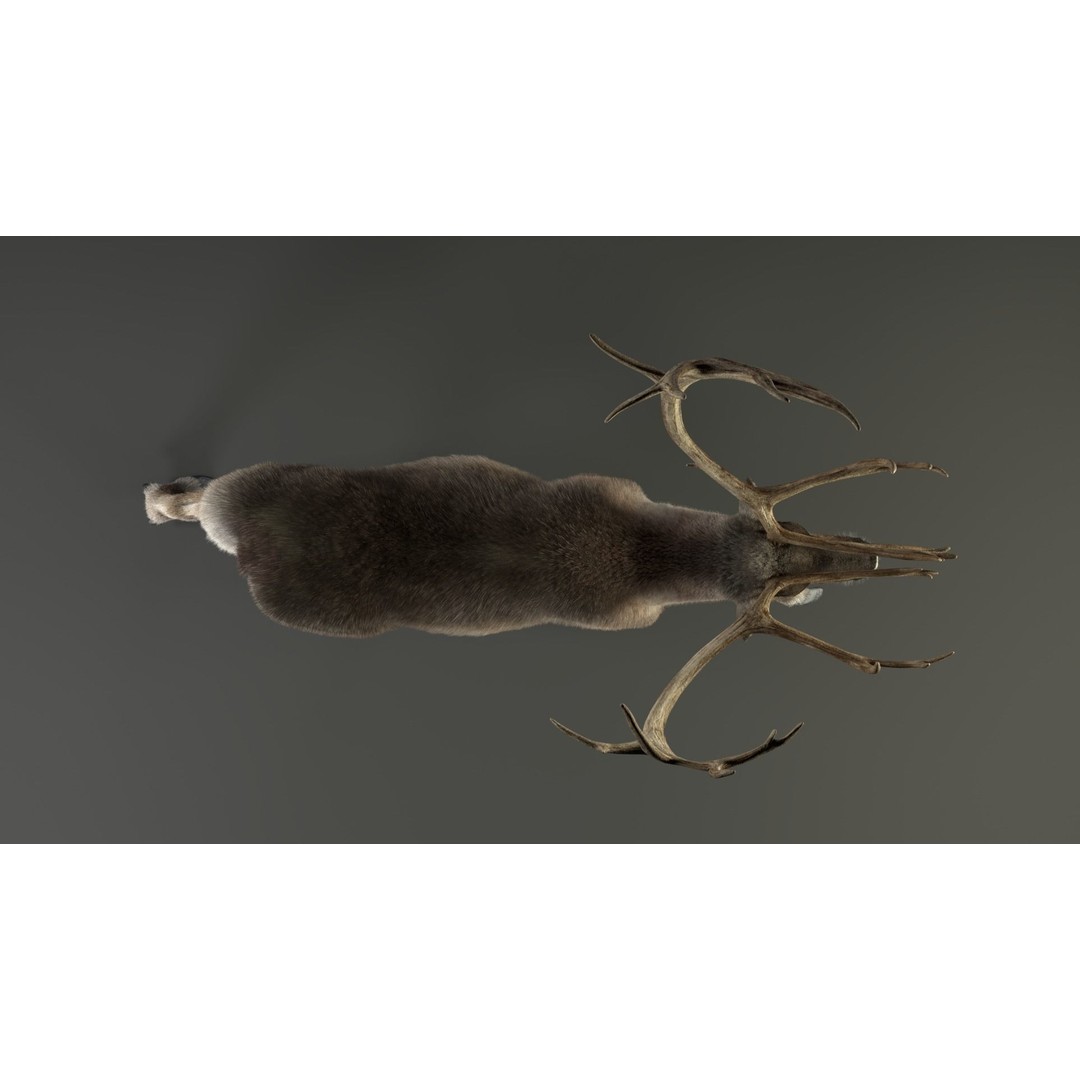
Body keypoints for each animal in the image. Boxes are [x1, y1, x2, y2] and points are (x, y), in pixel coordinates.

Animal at [143, 335, 954, 778]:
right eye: (788, 594)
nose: (861, 561)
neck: (649, 555)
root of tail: (245, 534)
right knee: (185, 504)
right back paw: (163, 496)